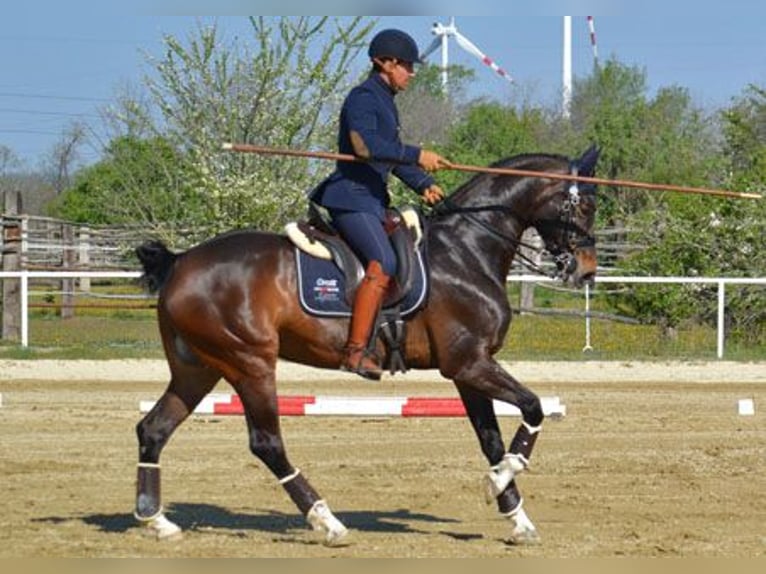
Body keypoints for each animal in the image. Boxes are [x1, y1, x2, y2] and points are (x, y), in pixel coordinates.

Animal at [134, 145, 600, 548]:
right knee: (266, 443)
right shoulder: (469, 364)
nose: (586, 272)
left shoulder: (469, 371)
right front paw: (502, 480)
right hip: (249, 363)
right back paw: (327, 522)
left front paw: (516, 516)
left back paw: (157, 521)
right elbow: (533, 408)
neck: (466, 250)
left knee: (153, 429)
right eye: (584, 207)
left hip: (198, 368)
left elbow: (491, 441)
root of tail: (181, 261)